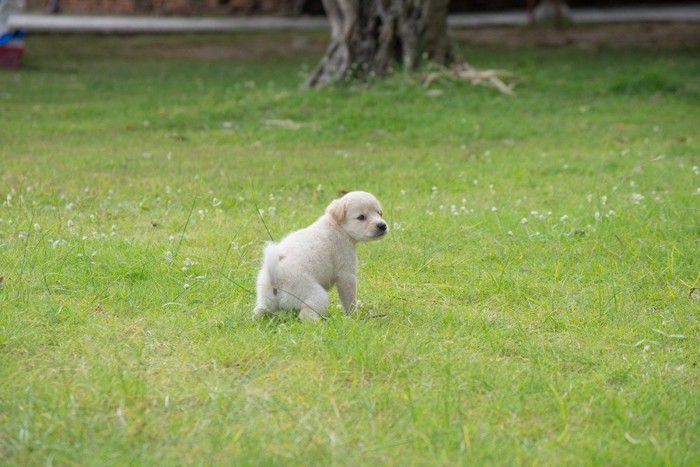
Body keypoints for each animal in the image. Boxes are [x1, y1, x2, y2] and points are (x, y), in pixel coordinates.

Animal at [254, 190, 388, 322]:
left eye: (379, 213)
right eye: (361, 217)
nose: (383, 225)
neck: (337, 226)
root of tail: (275, 276)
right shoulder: (346, 275)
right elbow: (349, 300)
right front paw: (354, 315)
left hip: (266, 301)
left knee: (259, 311)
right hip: (317, 296)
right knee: (307, 316)